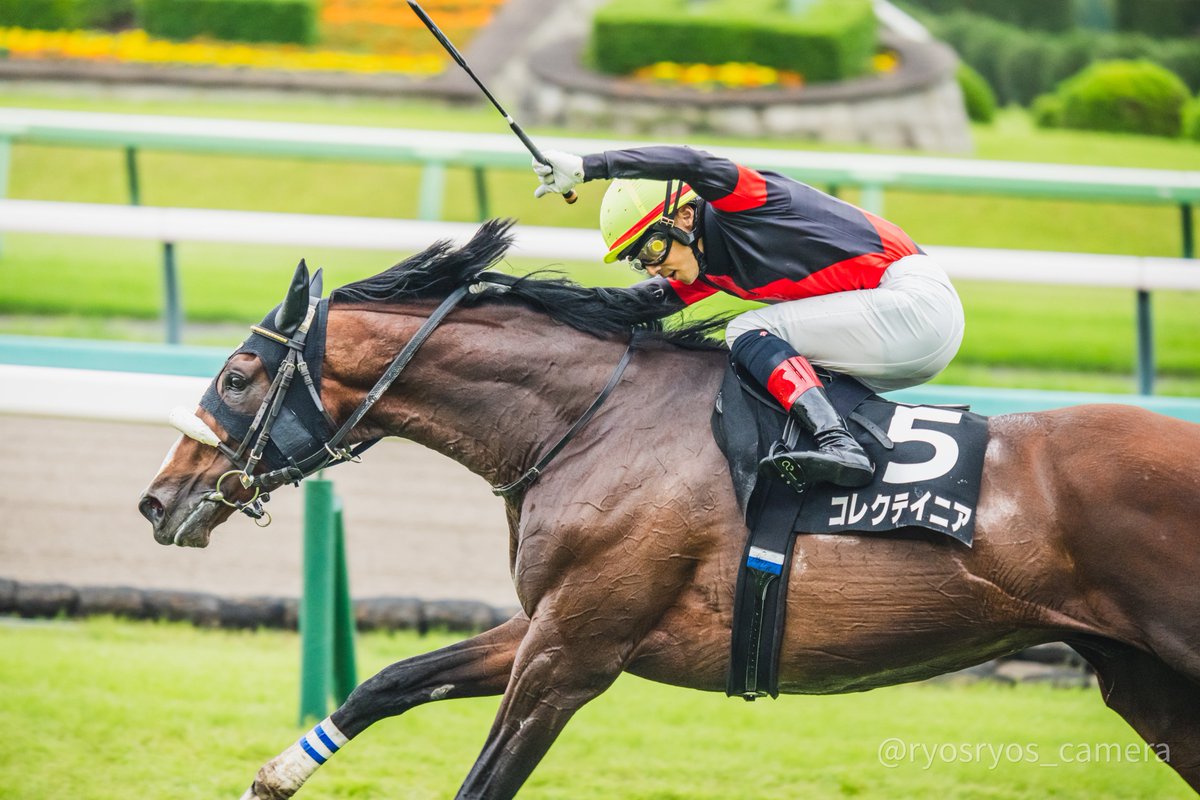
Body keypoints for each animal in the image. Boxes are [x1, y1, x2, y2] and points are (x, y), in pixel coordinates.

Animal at [138, 220, 1200, 799]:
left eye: (237, 376)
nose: (157, 500)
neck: (592, 419)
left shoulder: (573, 653)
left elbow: (482, 778)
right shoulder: (555, 622)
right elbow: (390, 681)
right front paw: (276, 774)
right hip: (1145, 682)